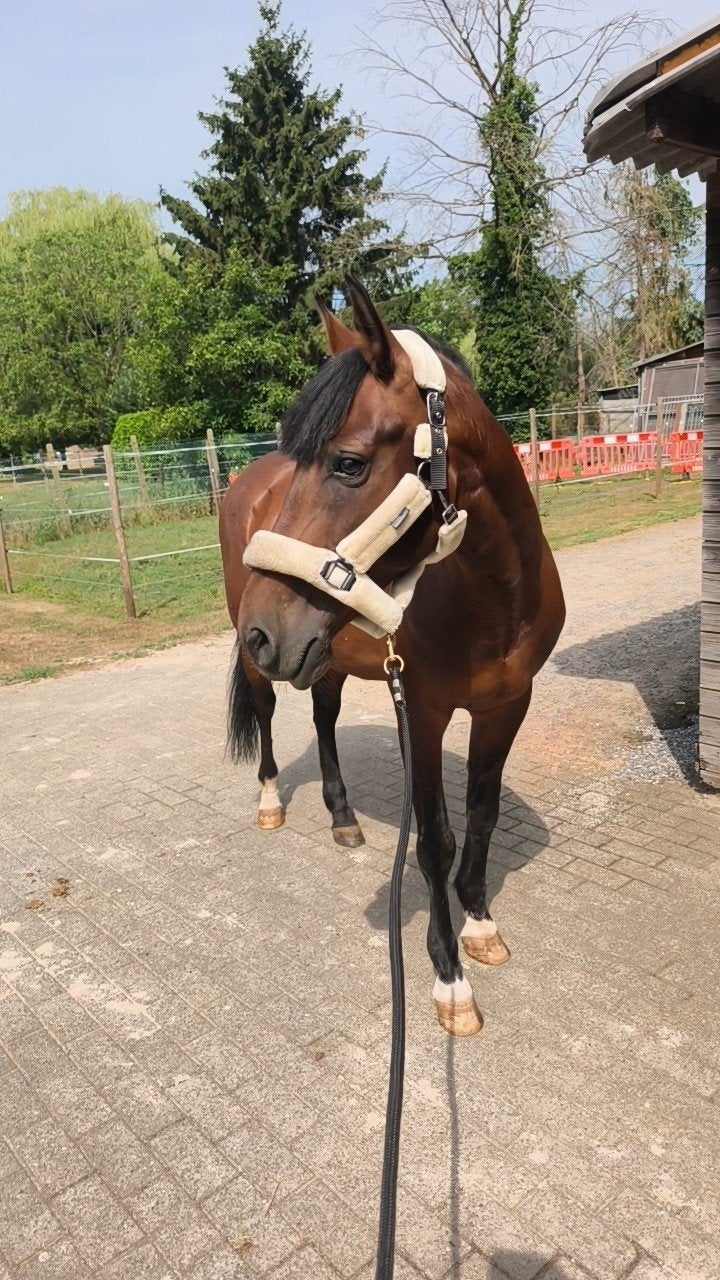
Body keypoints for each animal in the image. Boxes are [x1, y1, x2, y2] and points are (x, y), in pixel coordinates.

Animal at [219, 276, 565, 1036]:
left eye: (347, 463)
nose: (262, 628)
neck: (493, 595)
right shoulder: (427, 713)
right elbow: (434, 839)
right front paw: (449, 976)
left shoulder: (509, 702)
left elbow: (483, 814)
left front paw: (480, 924)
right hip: (272, 661)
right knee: (266, 712)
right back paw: (270, 802)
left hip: (320, 653)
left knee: (322, 718)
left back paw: (343, 817)